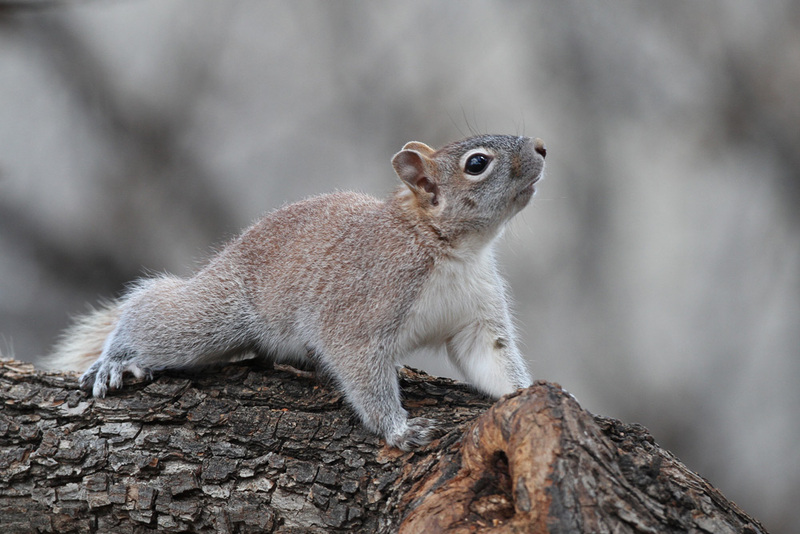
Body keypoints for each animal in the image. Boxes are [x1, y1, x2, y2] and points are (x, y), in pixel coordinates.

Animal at [49, 134, 547, 451]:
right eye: (477, 163)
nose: (541, 147)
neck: (453, 249)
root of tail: (228, 256)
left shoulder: (475, 318)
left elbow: (491, 361)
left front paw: (528, 394)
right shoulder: (361, 311)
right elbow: (361, 369)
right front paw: (399, 431)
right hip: (218, 318)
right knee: (154, 312)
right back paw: (116, 358)